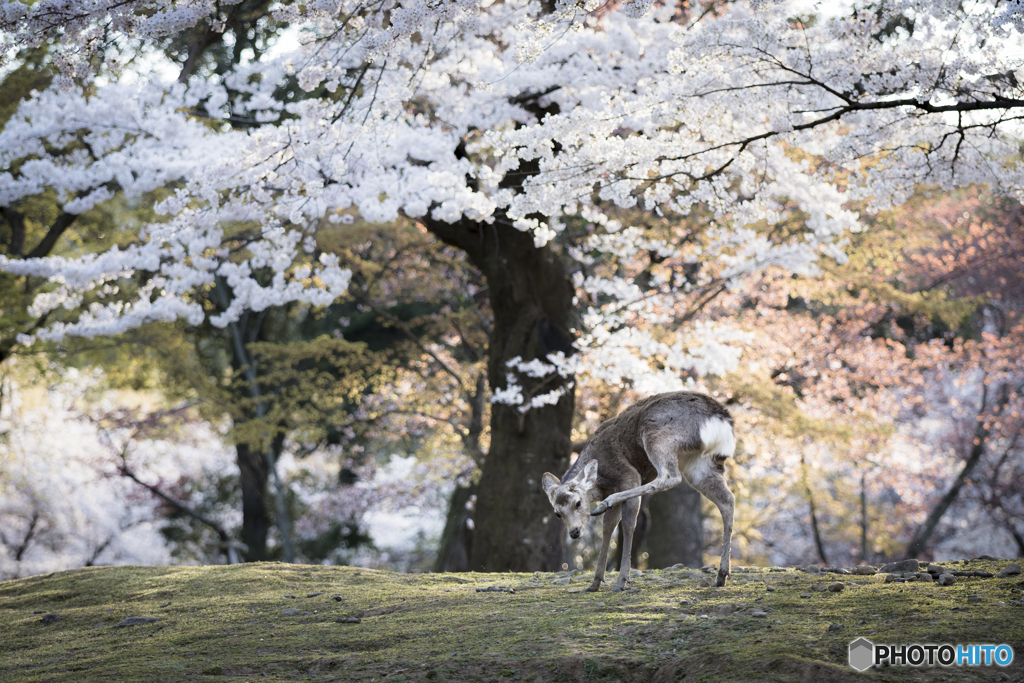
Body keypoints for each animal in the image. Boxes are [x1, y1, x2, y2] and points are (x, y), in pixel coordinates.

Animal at [540, 393, 733, 589]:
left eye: (578, 503)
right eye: (557, 513)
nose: (574, 532)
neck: (601, 482)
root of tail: (720, 419)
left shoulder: (627, 475)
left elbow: (627, 524)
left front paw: (622, 580)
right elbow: (607, 528)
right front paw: (595, 582)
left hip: (658, 438)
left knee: (669, 476)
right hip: (700, 464)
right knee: (727, 500)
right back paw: (721, 575)